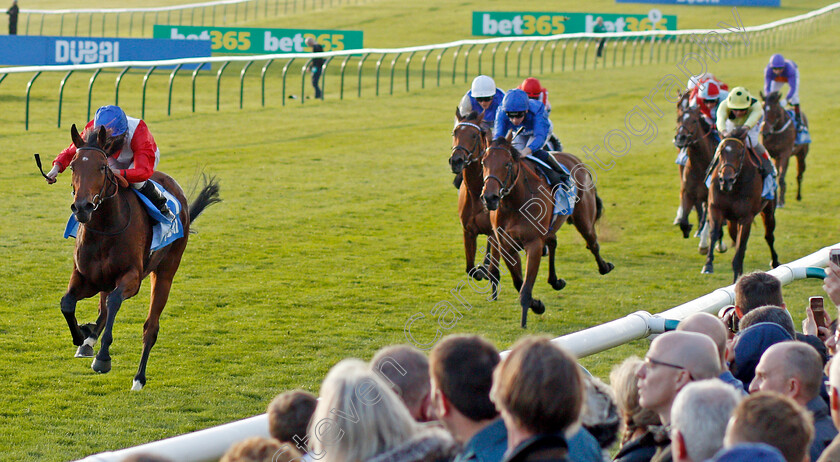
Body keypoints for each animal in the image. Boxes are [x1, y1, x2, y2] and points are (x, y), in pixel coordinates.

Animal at [60, 123, 223, 390]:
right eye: (73, 166)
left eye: (102, 167)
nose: (82, 207)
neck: (105, 228)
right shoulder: (86, 277)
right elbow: (67, 303)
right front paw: (82, 335)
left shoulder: (132, 278)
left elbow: (115, 302)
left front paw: (103, 358)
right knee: (103, 309)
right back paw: (88, 341)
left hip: (166, 272)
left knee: (150, 327)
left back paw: (138, 378)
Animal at [482, 135, 612, 326]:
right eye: (483, 162)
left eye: (507, 164)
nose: (490, 197)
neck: (515, 203)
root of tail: (576, 160)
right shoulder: (506, 246)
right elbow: (518, 282)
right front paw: (536, 304)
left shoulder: (534, 243)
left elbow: (526, 286)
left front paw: (530, 311)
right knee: (553, 242)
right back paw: (555, 281)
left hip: (584, 218)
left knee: (592, 242)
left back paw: (604, 266)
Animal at [700, 128, 776, 284]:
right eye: (720, 152)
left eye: (740, 153)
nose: (726, 179)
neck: (734, 187)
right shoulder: (715, 208)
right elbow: (714, 233)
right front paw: (708, 265)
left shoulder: (746, 218)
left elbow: (741, 246)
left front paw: (737, 275)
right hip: (731, 220)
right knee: (734, 236)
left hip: (768, 210)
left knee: (769, 236)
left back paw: (775, 262)